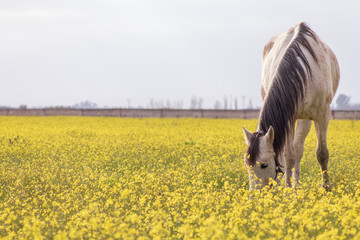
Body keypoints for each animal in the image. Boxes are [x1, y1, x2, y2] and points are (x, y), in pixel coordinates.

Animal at [243, 22, 338, 191]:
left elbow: (322, 153)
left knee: (299, 149)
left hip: (305, 118)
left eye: (264, 165)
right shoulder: (289, 116)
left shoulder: (322, 115)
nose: (254, 196)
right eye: (247, 165)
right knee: (294, 151)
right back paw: (295, 188)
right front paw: (288, 190)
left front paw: (326, 188)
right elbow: (289, 156)